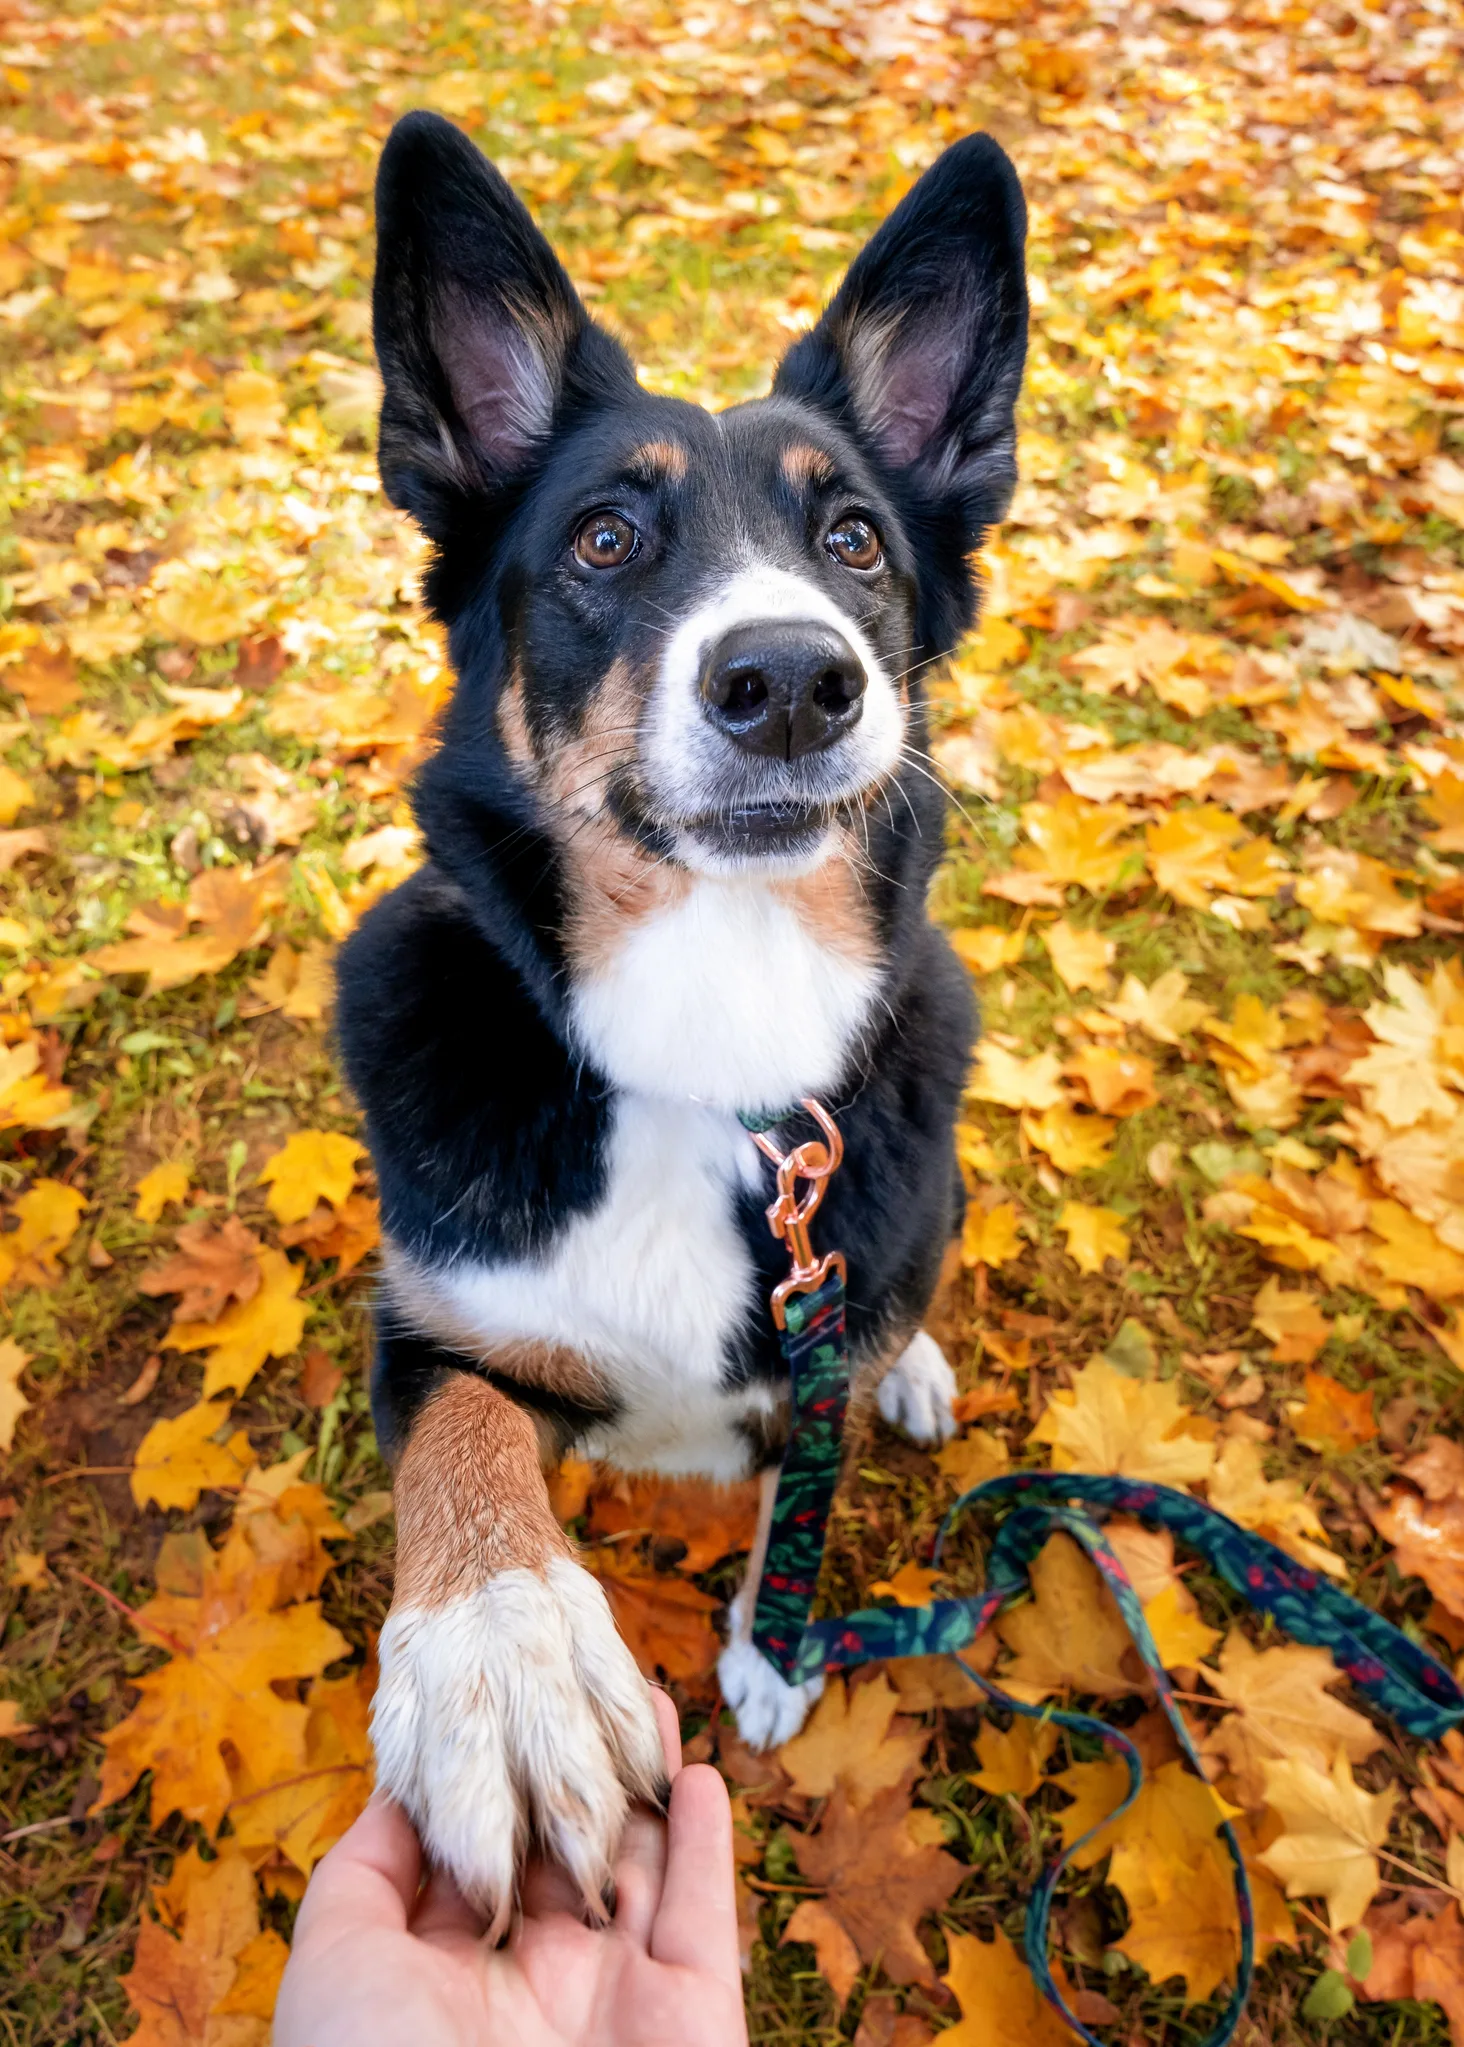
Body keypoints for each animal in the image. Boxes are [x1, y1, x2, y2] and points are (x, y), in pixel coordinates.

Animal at [339, 112, 1031, 1932]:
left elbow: (805, 1489)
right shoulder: (436, 1331)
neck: (704, 1049)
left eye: (852, 541)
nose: (789, 678)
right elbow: (463, 1444)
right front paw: (503, 1660)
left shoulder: (814, 1345)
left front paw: (770, 1652)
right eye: (601, 538)